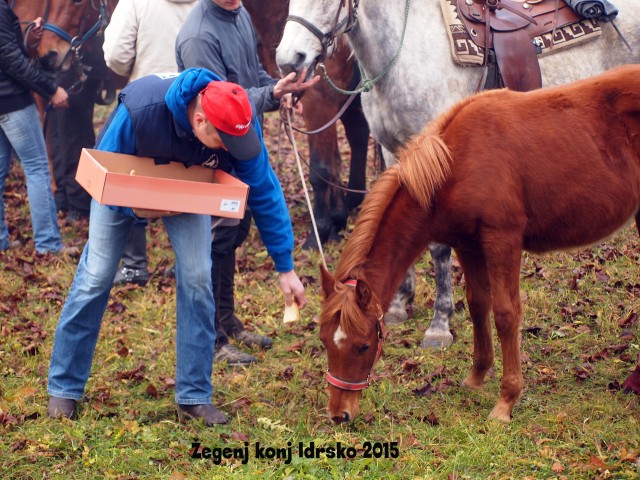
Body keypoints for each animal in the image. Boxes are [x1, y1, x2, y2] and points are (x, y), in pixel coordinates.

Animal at [320, 64, 640, 424]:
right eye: (325, 342)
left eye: (363, 345)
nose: (339, 414)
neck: (456, 164)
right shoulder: (468, 243)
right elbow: (477, 303)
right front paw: (476, 377)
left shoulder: (502, 238)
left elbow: (505, 312)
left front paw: (506, 400)